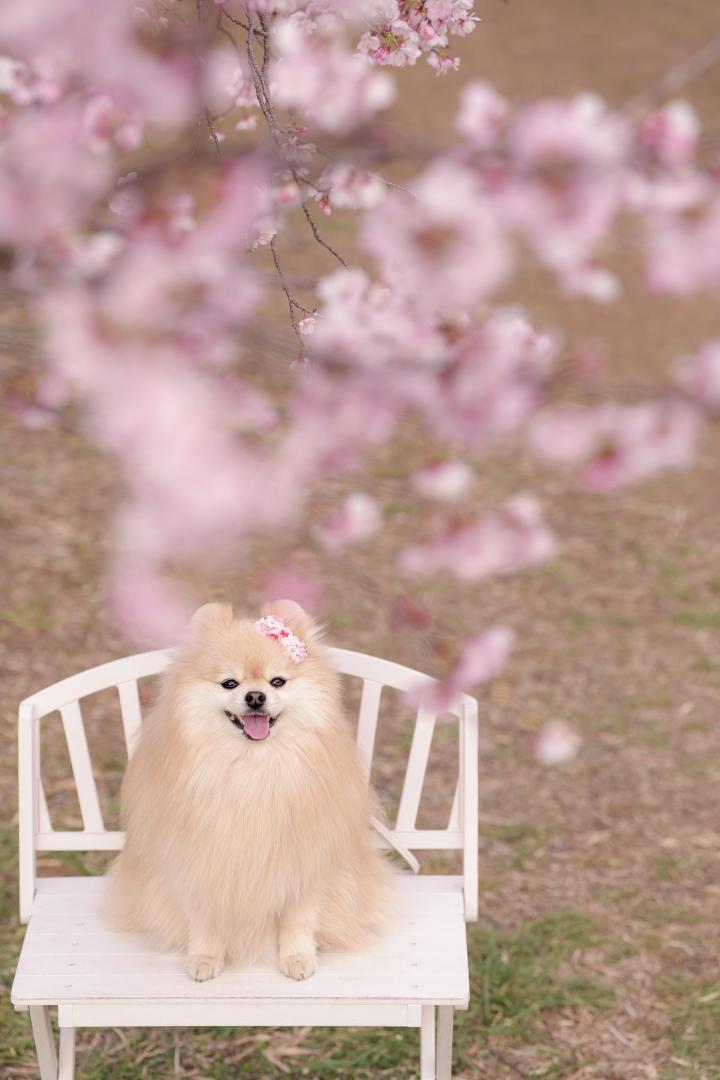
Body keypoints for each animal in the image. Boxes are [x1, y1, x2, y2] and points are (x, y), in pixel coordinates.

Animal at [104, 599, 394, 982]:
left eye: (277, 681)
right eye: (230, 683)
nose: (255, 696)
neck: (252, 769)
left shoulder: (307, 863)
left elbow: (299, 918)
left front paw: (297, 958)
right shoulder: (196, 862)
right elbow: (203, 919)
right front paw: (205, 958)